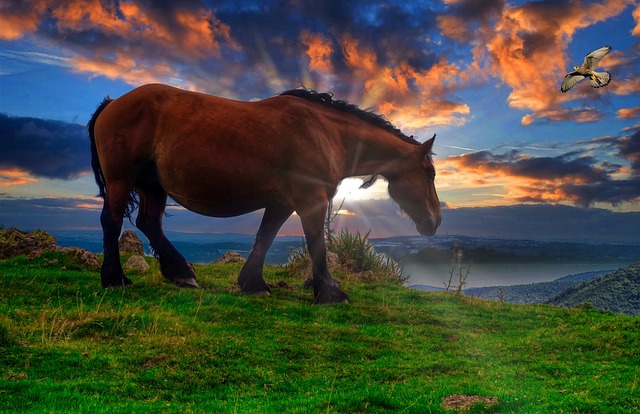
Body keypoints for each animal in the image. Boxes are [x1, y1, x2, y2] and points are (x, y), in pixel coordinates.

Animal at [90, 84, 440, 304]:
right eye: (430, 173)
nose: (435, 220)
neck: (325, 132)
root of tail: (113, 103)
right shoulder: (310, 200)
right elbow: (316, 244)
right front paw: (330, 293)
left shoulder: (282, 202)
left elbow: (265, 237)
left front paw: (253, 283)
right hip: (122, 179)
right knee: (112, 220)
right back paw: (115, 278)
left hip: (152, 185)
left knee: (150, 223)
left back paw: (181, 274)